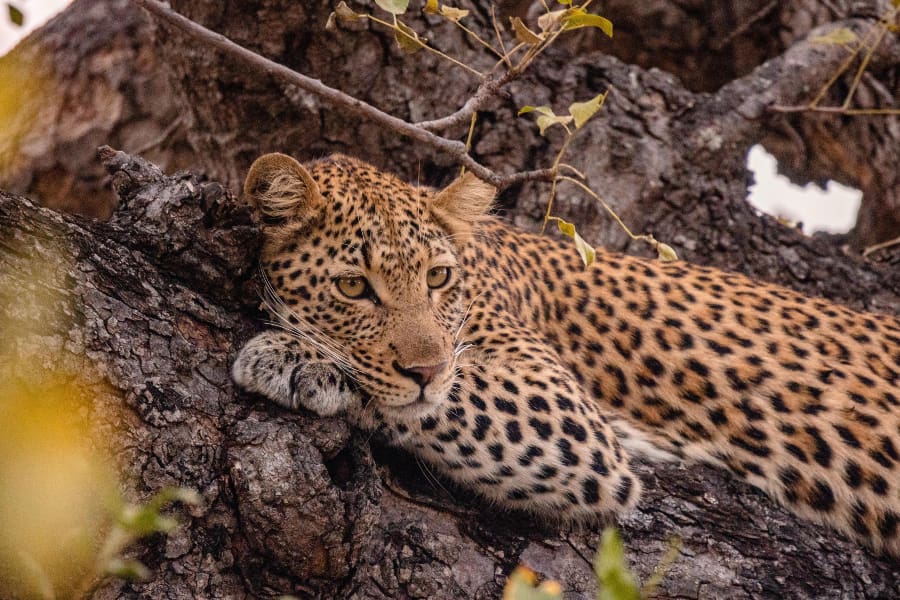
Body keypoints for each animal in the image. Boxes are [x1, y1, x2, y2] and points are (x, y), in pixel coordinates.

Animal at [232, 152, 900, 557]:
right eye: (353, 287)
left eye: (438, 278)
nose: (425, 369)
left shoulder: (570, 419)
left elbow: (451, 393)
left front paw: (298, 358)